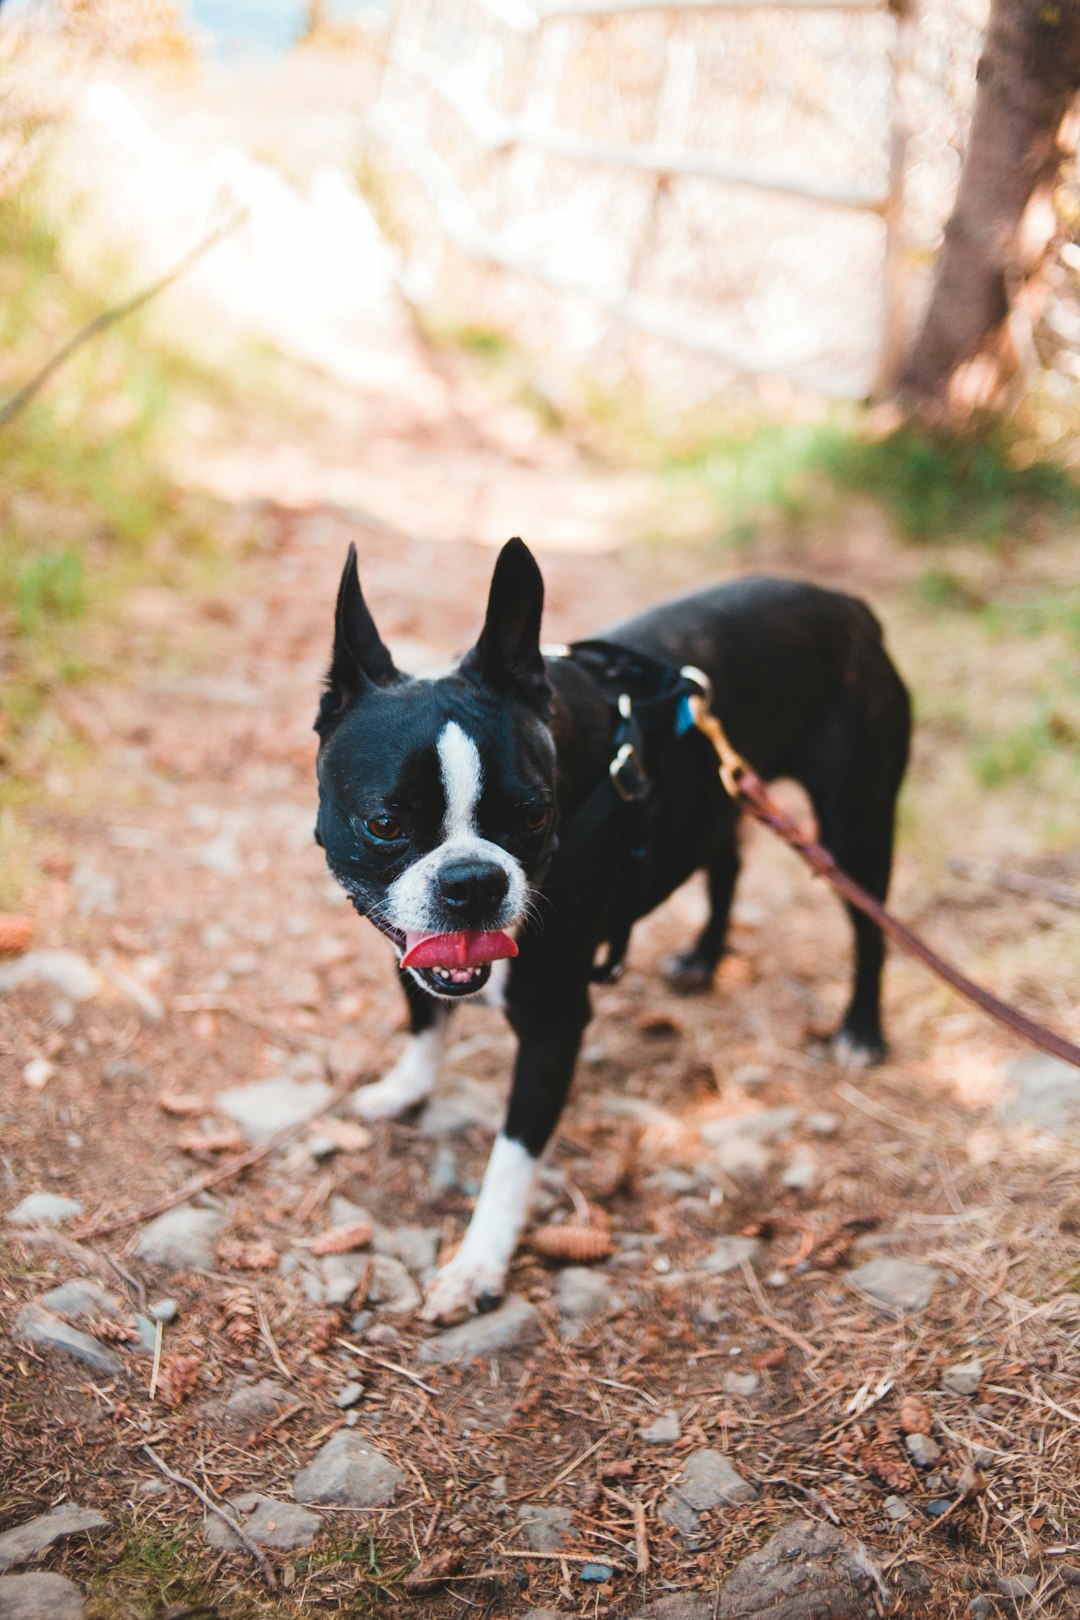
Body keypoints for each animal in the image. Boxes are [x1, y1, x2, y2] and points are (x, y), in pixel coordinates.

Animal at [312, 537, 913, 1321]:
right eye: (384, 825)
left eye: (535, 814)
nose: (472, 881)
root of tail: (848, 605)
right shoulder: (410, 948)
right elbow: (423, 1020)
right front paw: (405, 1089)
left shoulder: (554, 1025)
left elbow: (511, 1157)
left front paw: (477, 1266)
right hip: (720, 799)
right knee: (726, 864)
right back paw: (703, 959)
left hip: (854, 823)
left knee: (870, 927)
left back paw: (861, 1030)